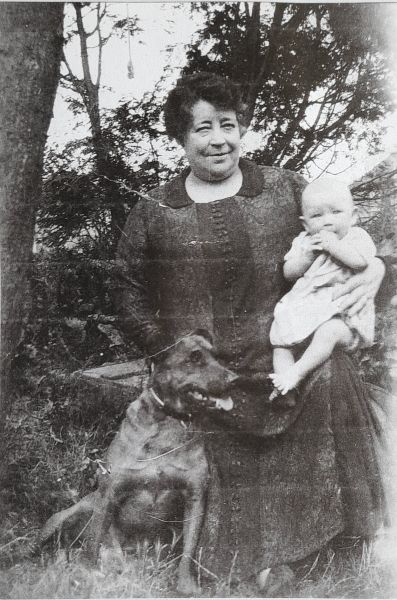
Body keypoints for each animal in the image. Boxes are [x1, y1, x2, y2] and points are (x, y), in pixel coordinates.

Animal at [38, 330, 237, 596]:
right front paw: (88, 576)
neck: (167, 423)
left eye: (217, 357)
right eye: (194, 358)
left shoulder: (195, 497)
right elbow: (94, 542)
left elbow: (189, 549)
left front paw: (186, 585)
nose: (235, 379)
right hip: (63, 518)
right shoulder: (109, 493)